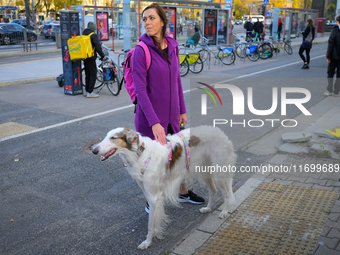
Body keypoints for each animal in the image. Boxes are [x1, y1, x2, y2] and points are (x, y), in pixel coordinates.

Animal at [92, 125, 236, 249]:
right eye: (106, 136)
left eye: (113, 138)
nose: (94, 150)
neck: (140, 154)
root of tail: (219, 131)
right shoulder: (147, 192)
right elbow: (155, 219)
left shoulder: (154, 196)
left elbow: (151, 224)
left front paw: (147, 242)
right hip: (205, 171)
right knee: (213, 191)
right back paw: (208, 208)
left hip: (218, 174)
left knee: (227, 193)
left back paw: (224, 211)